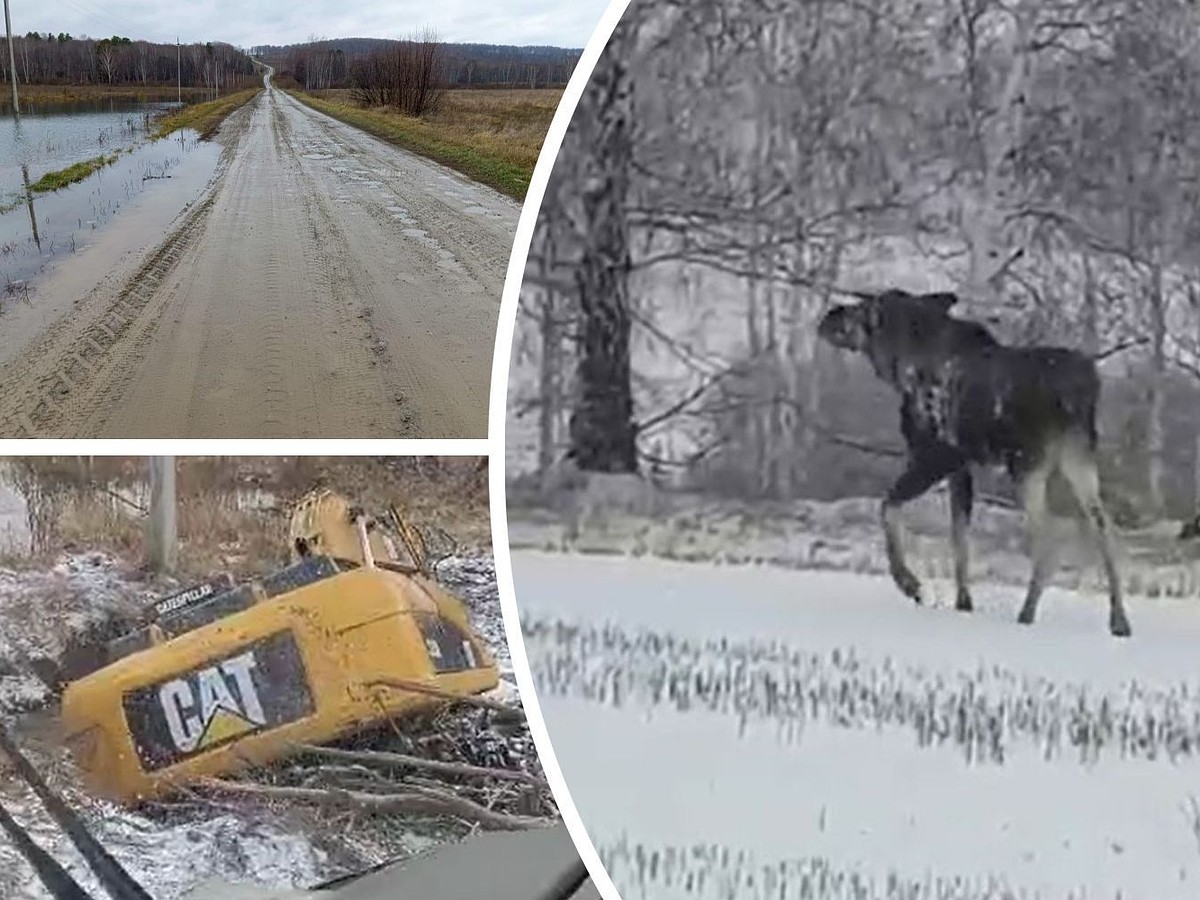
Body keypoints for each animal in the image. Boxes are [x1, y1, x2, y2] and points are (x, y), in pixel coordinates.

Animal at [820, 292, 1128, 638]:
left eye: (863, 308)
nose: (830, 315)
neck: (901, 366)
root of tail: (1081, 391)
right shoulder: (961, 468)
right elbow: (960, 538)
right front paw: (963, 602)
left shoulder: (936, 456)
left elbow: (888, 506)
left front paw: (909, 582)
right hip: (1078, 458)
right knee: (1104, 527)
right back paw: (1118, 619)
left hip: (1027, 463)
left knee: (1052, 534)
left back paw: (1027, 613)